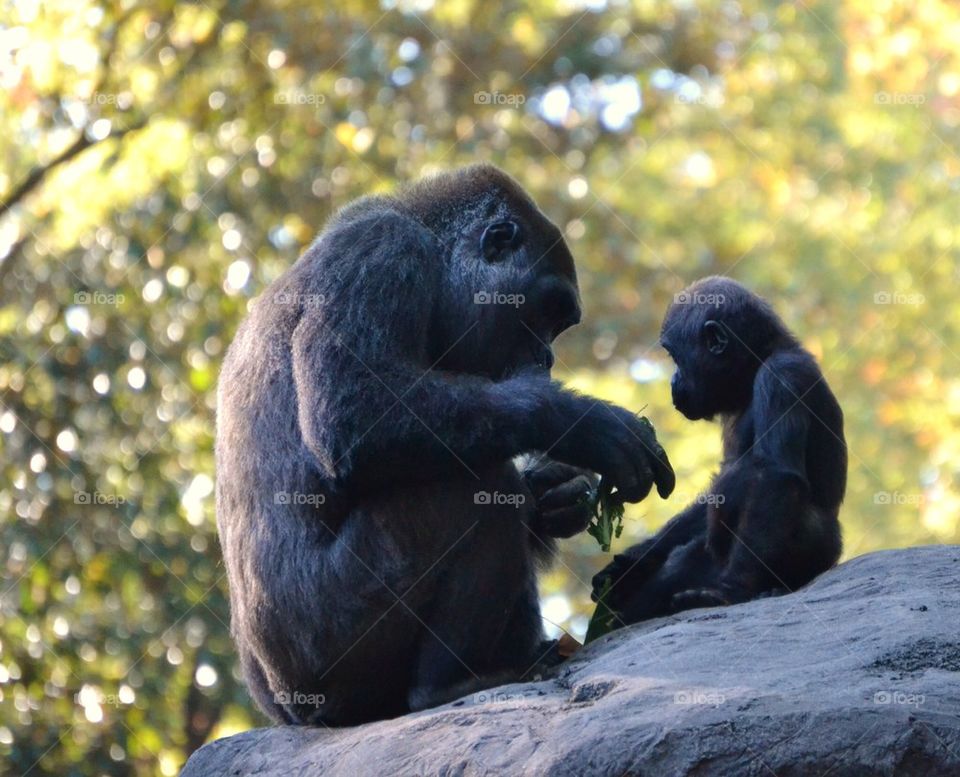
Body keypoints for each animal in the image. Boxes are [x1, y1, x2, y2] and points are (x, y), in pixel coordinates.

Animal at [592, 278, 848, 624]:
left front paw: (732, 590)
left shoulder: (783, 376)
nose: (673, 380)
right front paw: (632, 565)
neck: (757, 363)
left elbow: (775, 473)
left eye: (674, 356)